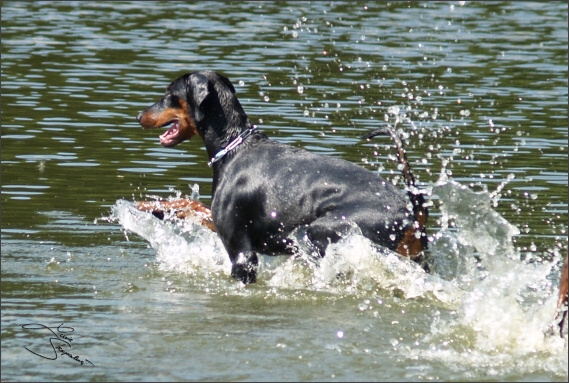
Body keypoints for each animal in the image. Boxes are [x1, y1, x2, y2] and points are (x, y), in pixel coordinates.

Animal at [136, 70, 426, 284]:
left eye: (170, 94)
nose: (139, 116)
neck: (233, 146)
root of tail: (412, 209)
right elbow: (192, 205)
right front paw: (152, 207)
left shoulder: (243, 255)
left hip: (315, 234)